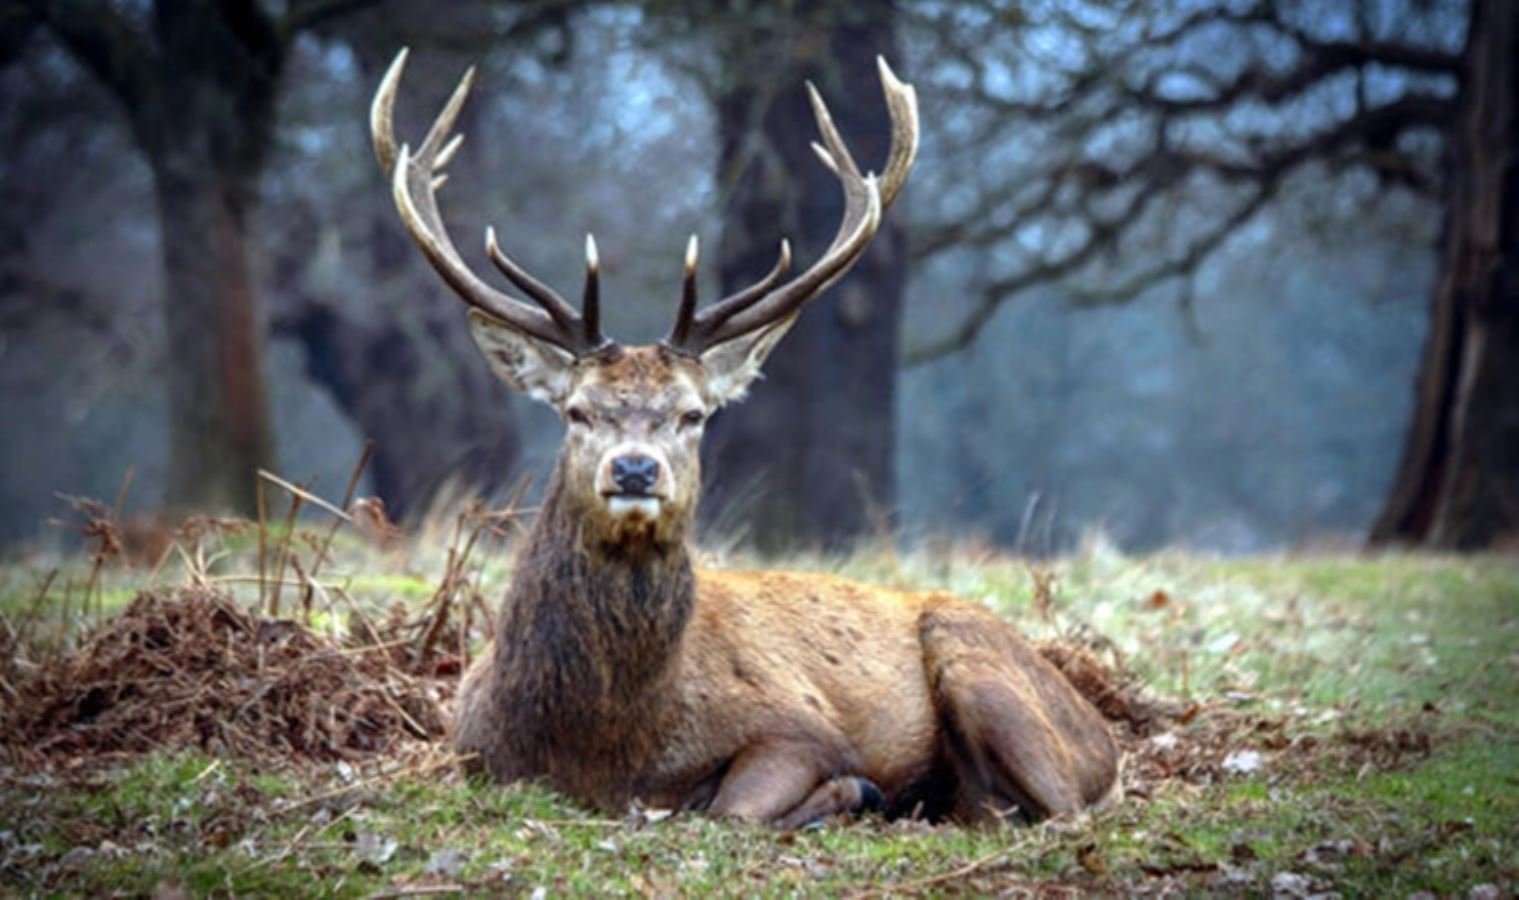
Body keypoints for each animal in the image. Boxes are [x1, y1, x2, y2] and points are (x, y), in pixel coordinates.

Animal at [373, 45, 1124, 827]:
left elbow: (735, 805)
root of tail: (1104, 740)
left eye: (693, 413)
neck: (606, 746)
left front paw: (846, 792)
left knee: (1060, 808)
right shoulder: (472, 751)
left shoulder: (797, 725)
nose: (635, 470)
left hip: (979, 665)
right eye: (576, 411)